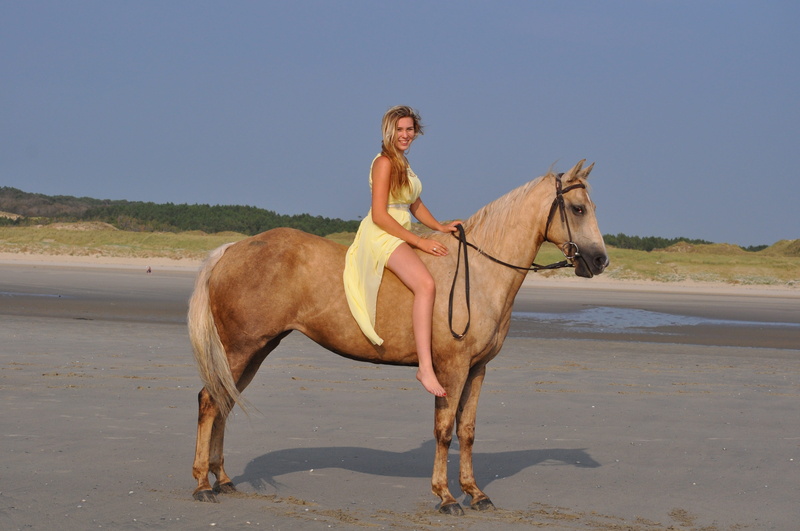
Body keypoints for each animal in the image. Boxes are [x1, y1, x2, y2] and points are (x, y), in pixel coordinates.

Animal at [188, 159, 608, 514]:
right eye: (577, 209)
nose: (600, 260)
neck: (477, 272)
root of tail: (233, 248)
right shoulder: (451, 369)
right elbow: (444, 430)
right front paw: (446, 497)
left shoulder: (477, 370)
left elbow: (467, 431)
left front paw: (475, 493)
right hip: (240, 349)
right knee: (210, 401)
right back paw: (202, 485)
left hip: (255, 350)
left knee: (225, 401)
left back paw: (222, 479)